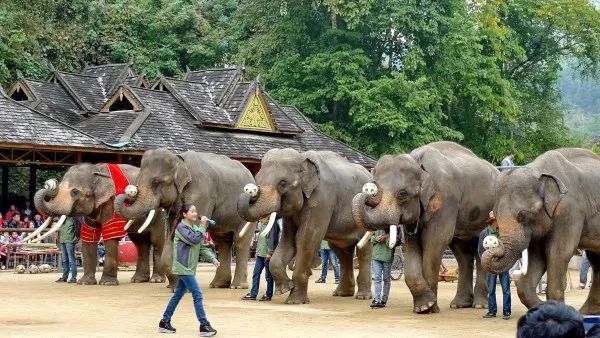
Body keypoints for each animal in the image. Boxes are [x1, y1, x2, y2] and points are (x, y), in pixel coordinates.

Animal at [33, 163, 171, 286]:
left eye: (75, 192)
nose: (49, 184)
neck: (96, 169)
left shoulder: (111, 202)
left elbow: (110, 234)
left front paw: (107, 283)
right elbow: (89, 235)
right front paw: (85, 283)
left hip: (160, 214)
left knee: (157, 241)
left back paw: (156, 280)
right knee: (140, 243)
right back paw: (138, 280)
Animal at [113, 147, 254, 290]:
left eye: (156, 182)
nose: (130, 192)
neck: (178, 159)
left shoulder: (202, 193)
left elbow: (192, 235)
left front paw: (183, 286)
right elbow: (171, 236)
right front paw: (175, 286)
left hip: (247, 211)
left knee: (240, 240)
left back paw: (237, 286)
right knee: (222, 241)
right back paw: (217, 285)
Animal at [238, 149, 370, 304]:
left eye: (283, 183)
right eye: (257, 180)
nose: (250, 191)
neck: (302, 158)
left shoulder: (321, 201)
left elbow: (305, 239)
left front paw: (295, 301)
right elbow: (289, 240)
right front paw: (285, 289)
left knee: (363, 250)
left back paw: (362, 296)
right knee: (342, 251)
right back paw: (342, 293)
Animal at [352, 141, 496, 312]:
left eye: (402, 193)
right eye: (375, 187)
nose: (368, 190)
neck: (418, 163)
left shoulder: (445, 201)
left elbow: (436, 240)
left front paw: (430, 308)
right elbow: (412, 246)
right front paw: (422, 307)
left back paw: (479, 305)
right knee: (462, 252)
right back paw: (459, 304)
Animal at [480, 148, 600, 314]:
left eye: (522, 215)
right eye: (495, 215)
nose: (491, 243)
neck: (539, 171)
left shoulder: (570, 211)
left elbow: (558, 252)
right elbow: (538, 258)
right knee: (597, 261)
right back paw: (587, 313)